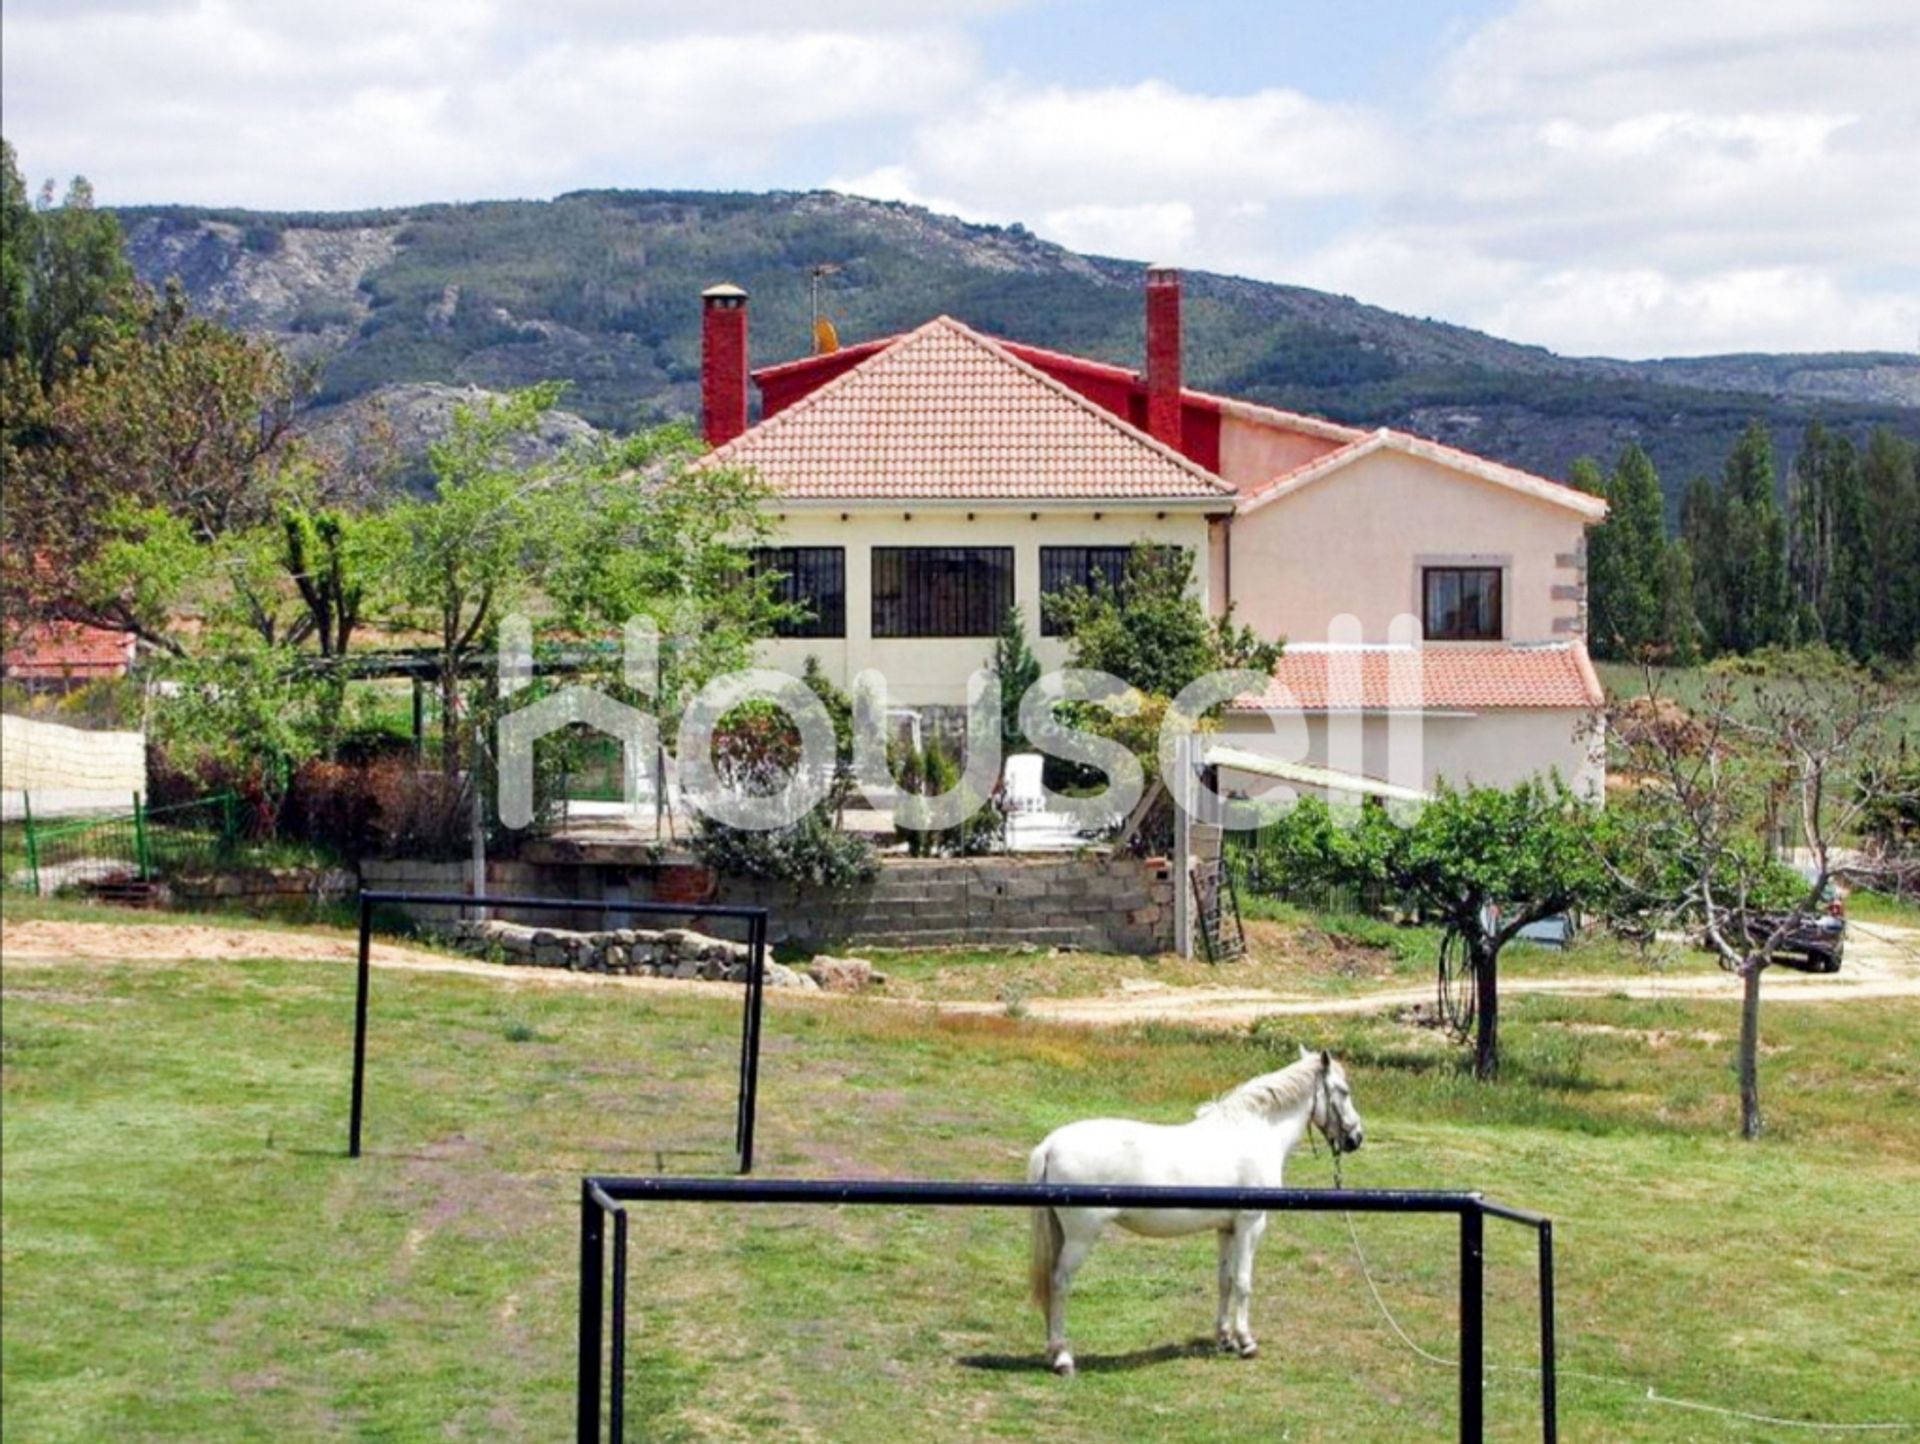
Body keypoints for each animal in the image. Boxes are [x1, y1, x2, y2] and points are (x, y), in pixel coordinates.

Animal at [1021, 1052, 1367, 1374]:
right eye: (1344, 1091)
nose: (1356, 1138)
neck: (1253, 1131)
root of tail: (1051, 1144)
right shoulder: (1250, 1225)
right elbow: (1243, 1282)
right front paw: (1246, 1341)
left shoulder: (1226, 1228)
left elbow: (1225, 1280)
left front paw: (1225, 1338)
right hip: (1081, 1237)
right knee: (1060, 1283)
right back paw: (1062, 1357)